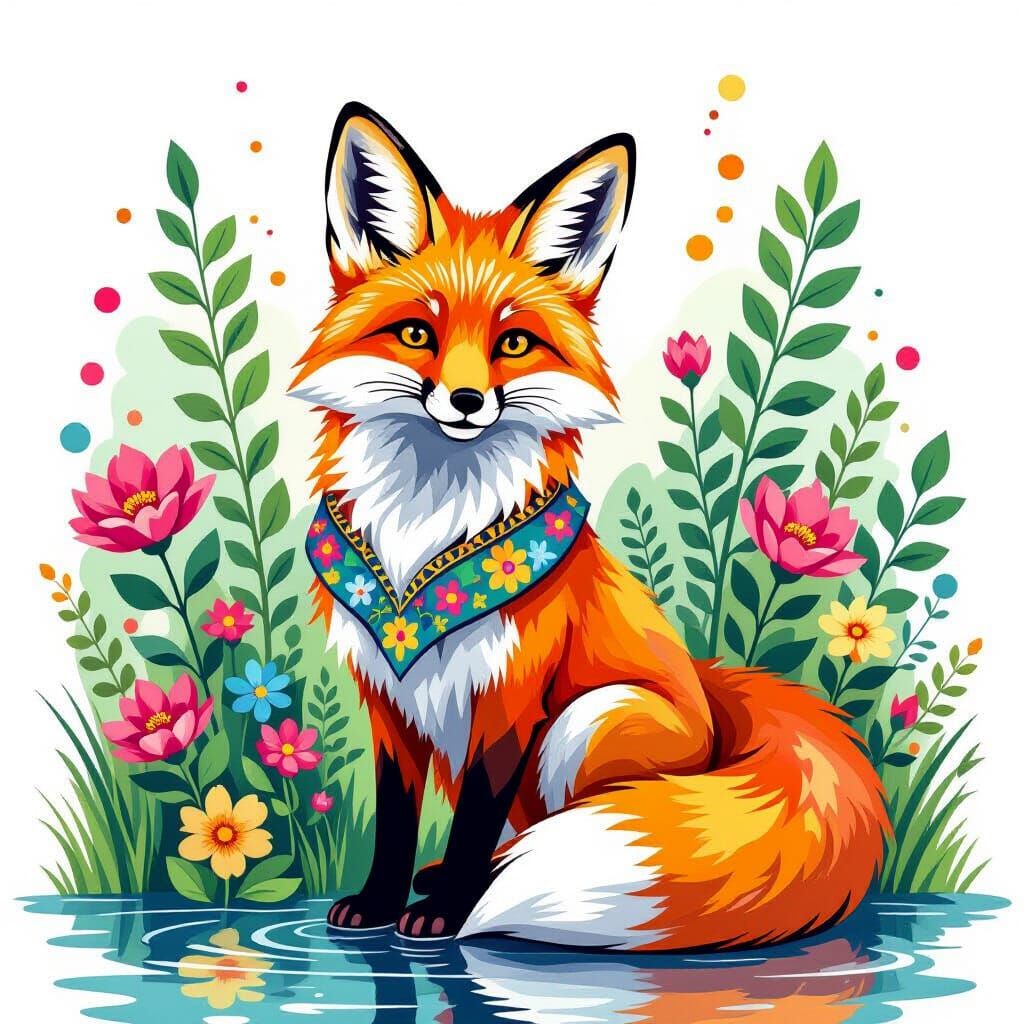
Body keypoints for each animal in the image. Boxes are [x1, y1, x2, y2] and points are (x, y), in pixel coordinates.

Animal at [288, 101, 889, 951]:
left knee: (550, 827)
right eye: (416, 334)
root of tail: (712, 692)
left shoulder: (511, 699)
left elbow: (473, 820)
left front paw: (446, 911)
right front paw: (377, 903)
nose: (466, 401)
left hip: (585, 723)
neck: (426, 533)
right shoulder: (386, 699)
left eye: (512, 342)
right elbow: (397, 817)